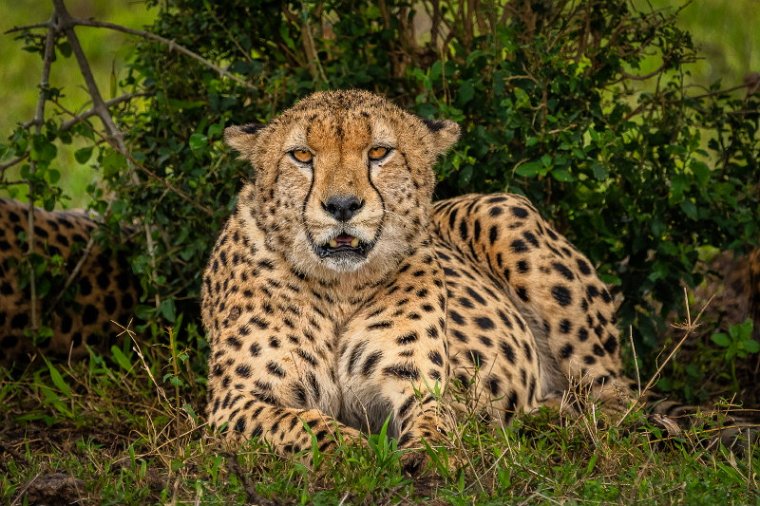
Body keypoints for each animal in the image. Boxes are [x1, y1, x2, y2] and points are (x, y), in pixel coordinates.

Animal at [202, 89, 636, 468]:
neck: (340, 287)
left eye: (379, 152)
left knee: (619, 403)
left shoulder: (419, 383)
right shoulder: (232, 402)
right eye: (302, 155)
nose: (342, 206)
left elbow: (434, 419)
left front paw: (429, 453)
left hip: (503, 212)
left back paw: (555, 422)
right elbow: (300, 422)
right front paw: (353, 452)